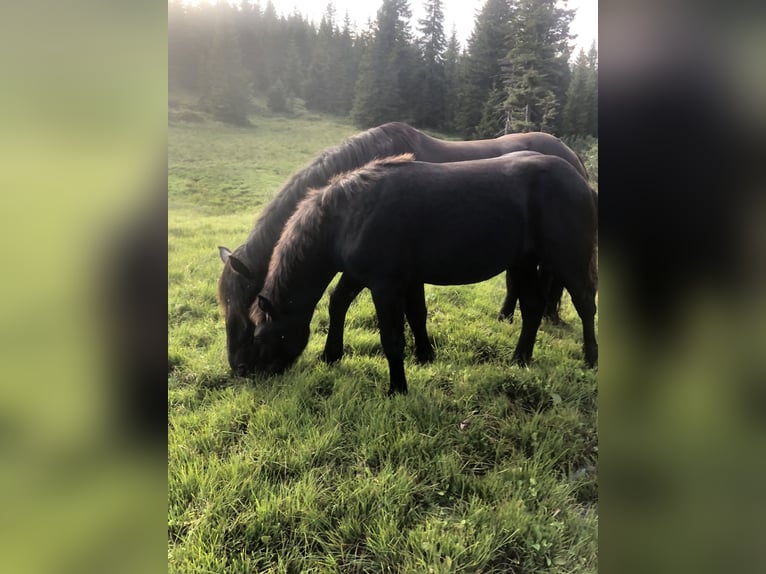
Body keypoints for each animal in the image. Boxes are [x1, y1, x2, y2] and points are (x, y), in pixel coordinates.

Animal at [218, 121, 588, 378]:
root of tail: (573, 159)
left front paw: (423, 353)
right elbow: (340, 303)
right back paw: (509, 324)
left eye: (246, 308)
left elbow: (415, 312)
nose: (238, 368)